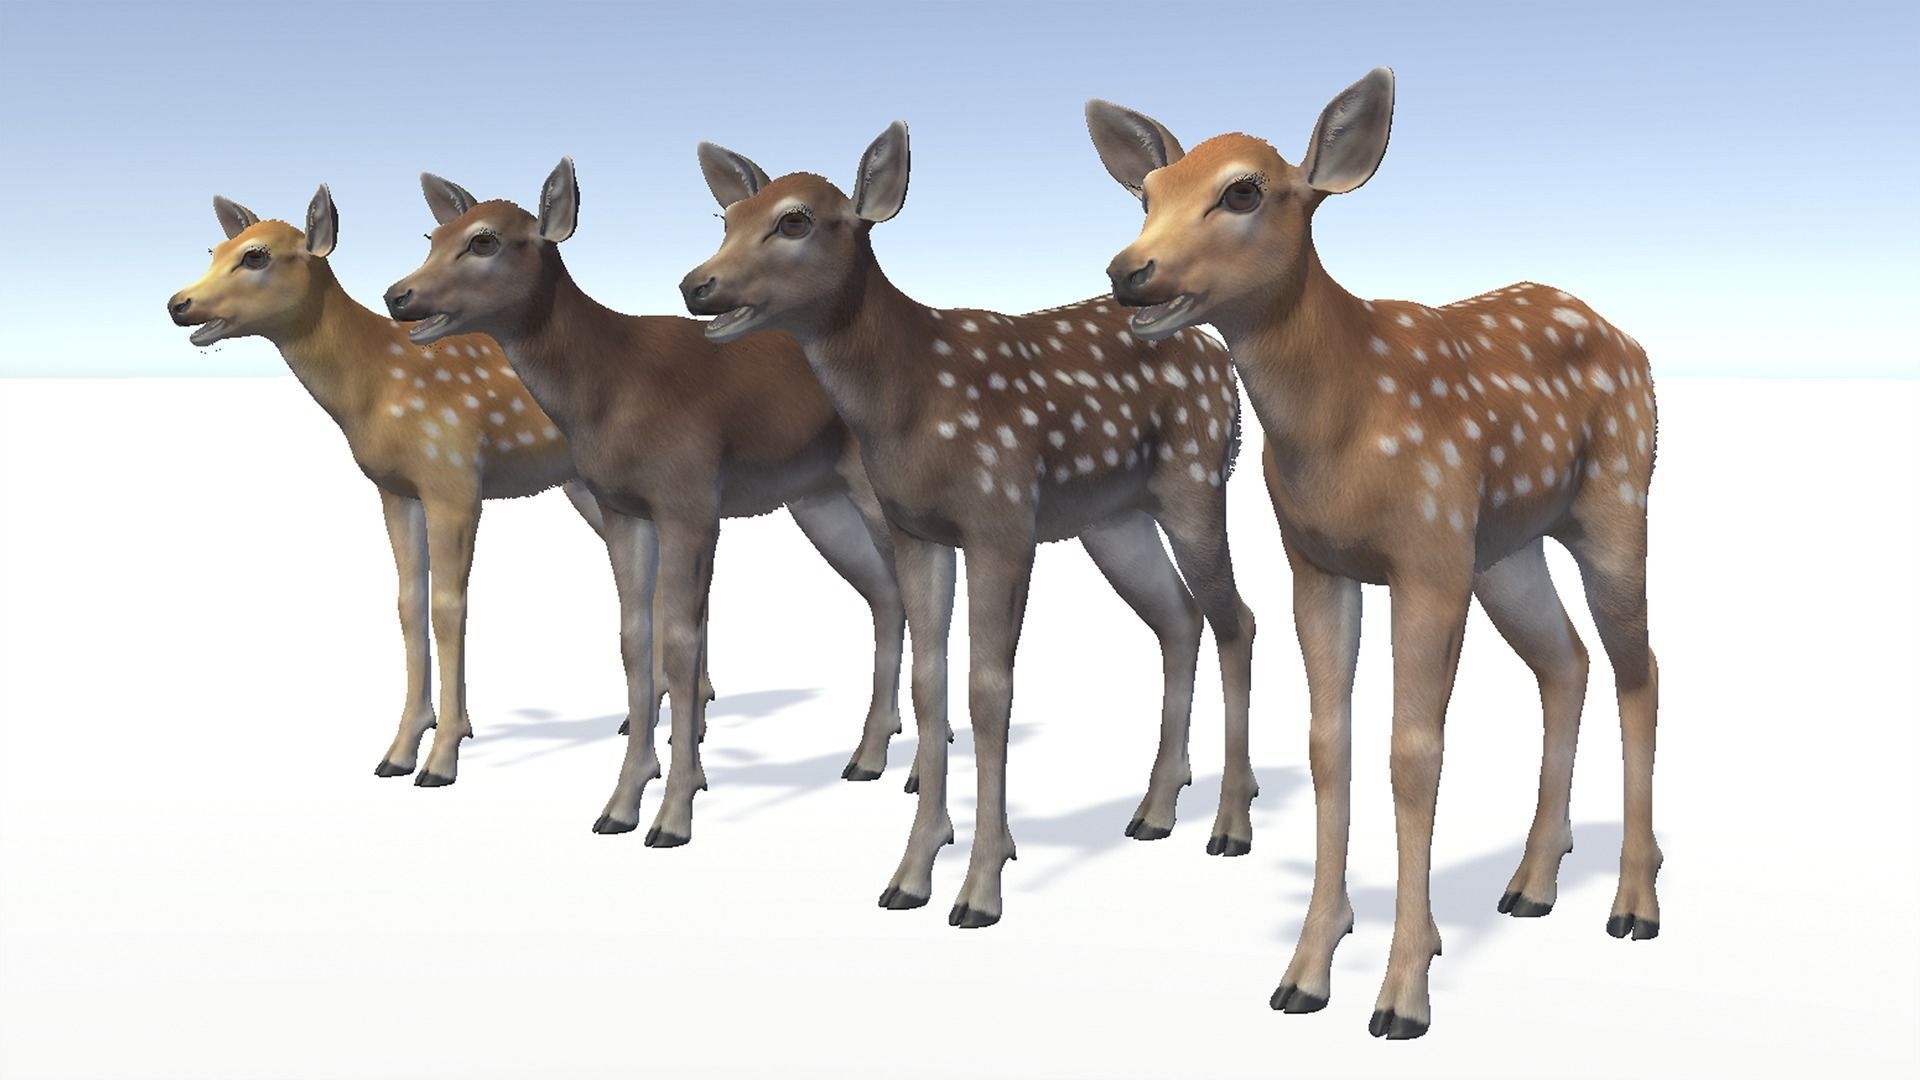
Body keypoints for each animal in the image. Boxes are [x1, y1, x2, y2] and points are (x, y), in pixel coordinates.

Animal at [164, 185, 715, 789]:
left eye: (256, 255)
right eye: (216, 249)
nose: (178, 304)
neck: (372, 388)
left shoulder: (453, 475)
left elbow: (449, 606)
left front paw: (443, 754)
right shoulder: (396, 489)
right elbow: (409, 602)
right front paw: (400, 747)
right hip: (591, 488)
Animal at [383, 159, 929, 845]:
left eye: (484, 240)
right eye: (433, 236)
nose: (398, 295)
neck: (614, 384)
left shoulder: (689, 497)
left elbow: (679, 640)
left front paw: (674, 813)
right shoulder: (625, 507)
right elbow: (634, 637)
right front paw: (620, 803)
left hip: (873, 491)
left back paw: (912, 770)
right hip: (819, 499)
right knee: (885, 594)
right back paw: (868, 757)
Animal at [680, 123, 1260, 929]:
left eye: (794, 220)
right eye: (727, 218)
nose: (696, 285)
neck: (914, 394)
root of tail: (1221, 361)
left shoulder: (1001, 520)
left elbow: (991, 691)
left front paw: (982, 887)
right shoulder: (918, 531)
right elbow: (931, 682)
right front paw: (910, 874)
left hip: (1195, 482)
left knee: (1237, 618)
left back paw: (1230, 826)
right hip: (1112, 518)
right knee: (1179, 618)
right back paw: (1155, 810)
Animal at [1086, 68, 1661, 1038]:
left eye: (1244, 191)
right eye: (1146, 194)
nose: (1130, 272)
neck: (1344, 416)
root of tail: (1633, 345)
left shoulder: (1426, 558)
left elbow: (1413, 751)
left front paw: (1403, 992)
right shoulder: (1317, 563)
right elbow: (1330, 743)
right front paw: (1306, 971)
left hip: (1614, 504)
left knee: (1638, 669)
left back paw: (1633, 904)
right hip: (1504, 549)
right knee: (1567, 662)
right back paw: (1532, 884)